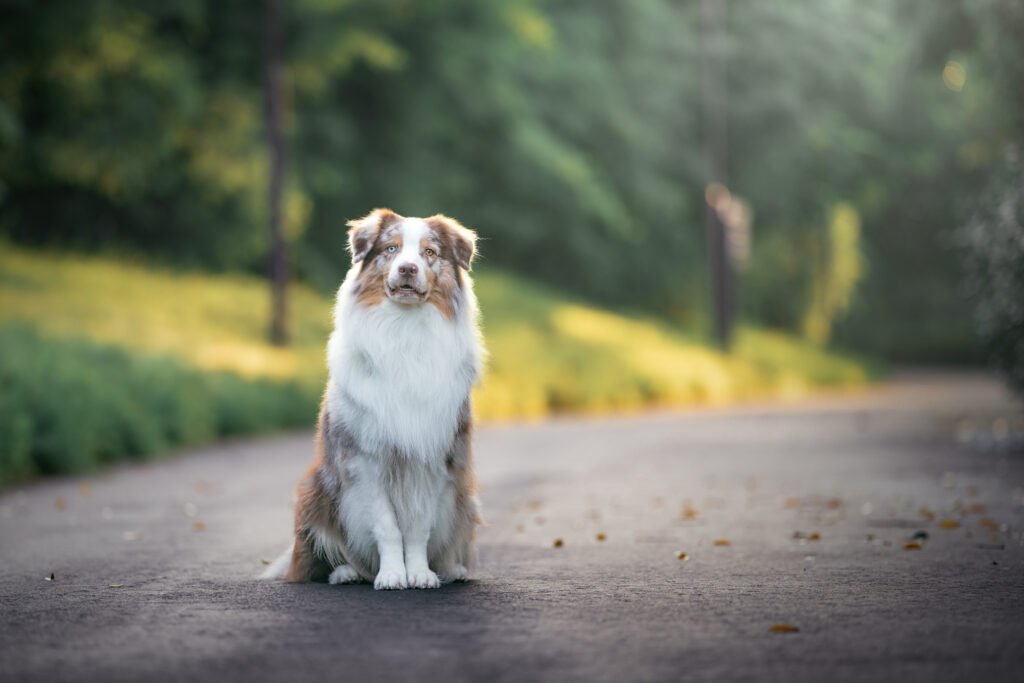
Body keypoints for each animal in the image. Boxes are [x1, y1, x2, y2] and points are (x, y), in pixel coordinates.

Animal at [260, 206, 483, 589]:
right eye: (391, 249)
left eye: (429, 252)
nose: (407, 269)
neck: (404, 331)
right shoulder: (366, 457)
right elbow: (387, 526)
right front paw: (392, 574)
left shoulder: (431, 455)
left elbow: (418, 528)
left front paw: (419, 573)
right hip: (313, 489)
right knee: (326, 561)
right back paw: (347, 572)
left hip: (465, 498)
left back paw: (452, 569)